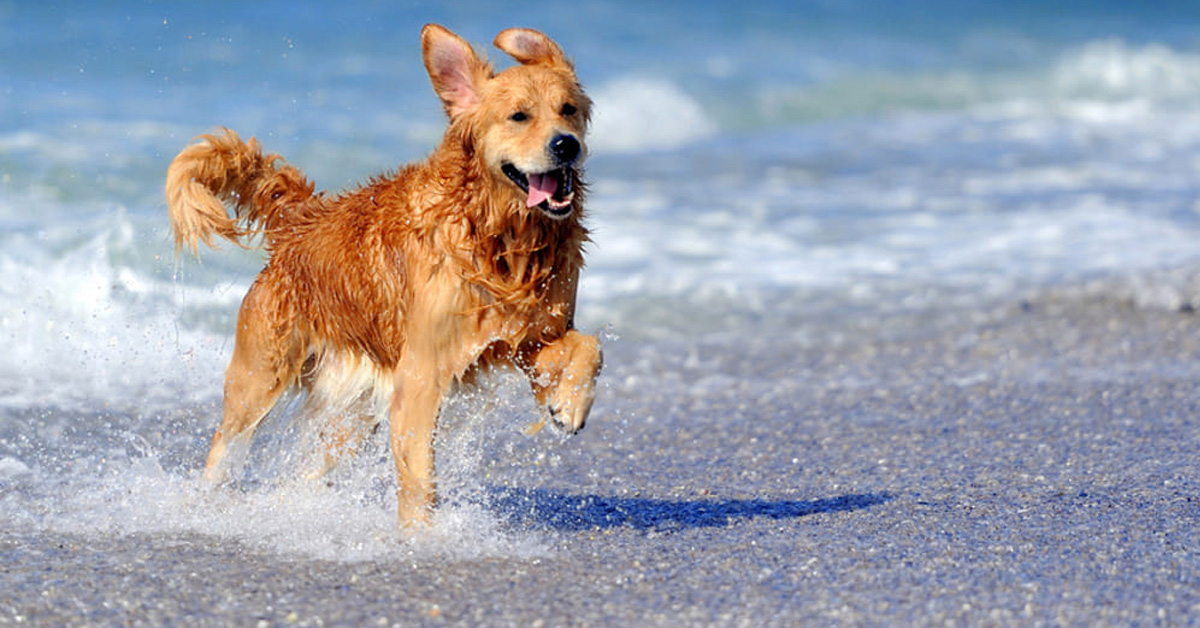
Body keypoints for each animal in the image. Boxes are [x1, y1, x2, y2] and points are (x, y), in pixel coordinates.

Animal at [164, 24, 604, 525]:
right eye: (519, 116)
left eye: (568, 110)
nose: (566, 144)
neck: (498, 236)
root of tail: (301, 221)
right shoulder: (422, 372)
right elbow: (418, 477)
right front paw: (422, 535)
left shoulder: (528, 337)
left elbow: (588, 346)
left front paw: (569, 405)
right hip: (260, 377)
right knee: (226, 444)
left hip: (352, 412)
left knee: (309, 471)